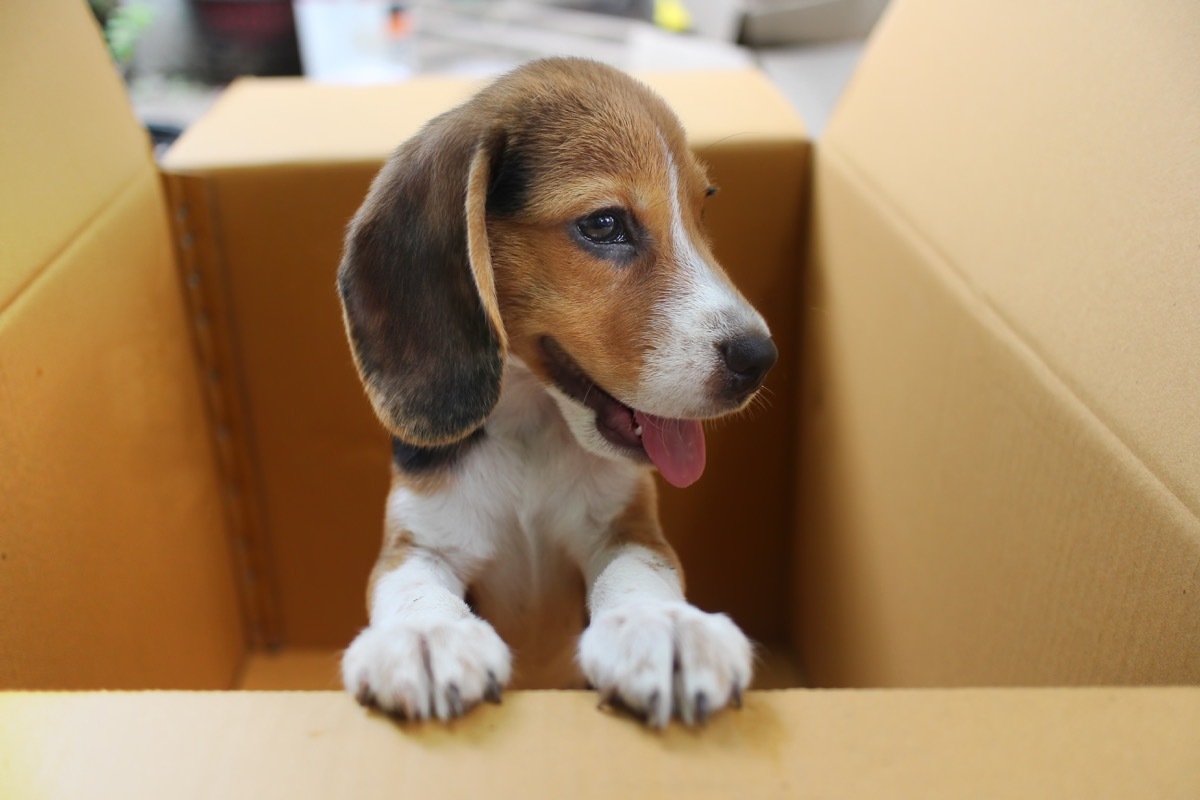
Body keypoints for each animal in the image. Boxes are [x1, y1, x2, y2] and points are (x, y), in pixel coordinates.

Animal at [343, 57, 777, 734]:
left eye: (703, 210)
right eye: (604, 224)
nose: (759, 359)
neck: (534, 425)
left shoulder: (629, 527)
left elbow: (639, 573)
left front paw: (664, 628)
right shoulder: (419, 539)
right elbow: (413, 588)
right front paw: (426, 638)